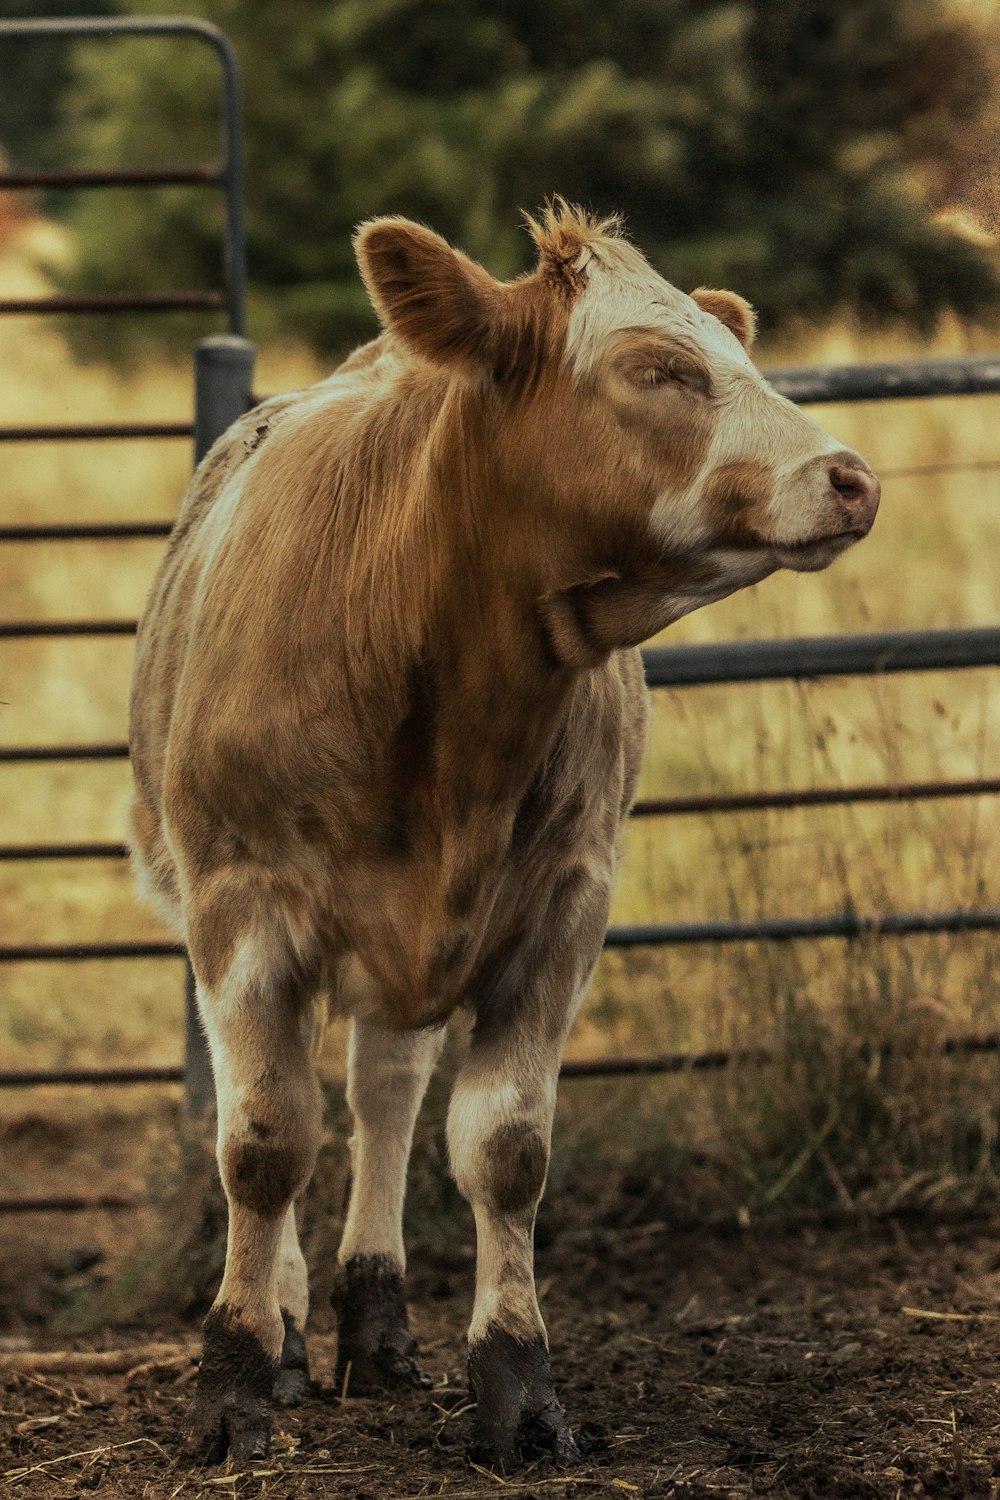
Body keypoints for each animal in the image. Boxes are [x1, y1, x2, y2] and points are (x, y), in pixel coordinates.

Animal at [128, 202, 881, 1476]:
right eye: (656, 368)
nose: (849, 477)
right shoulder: (240, 909)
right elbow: (265, 1142)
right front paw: (233, 1380)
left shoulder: (563, 911)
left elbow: (502, 1149)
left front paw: (517, 1386)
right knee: (285, 1111)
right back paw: (290, 1327)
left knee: (382, 1094)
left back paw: (374, 1324)